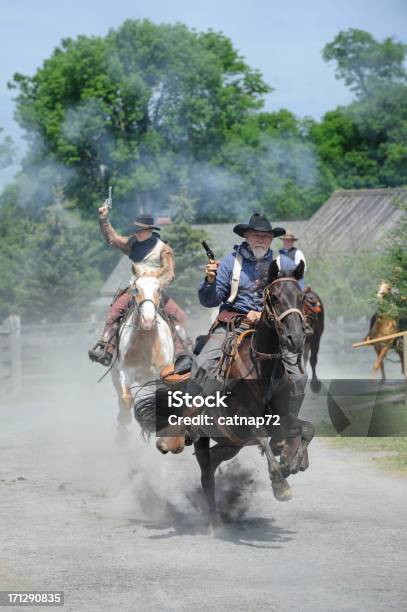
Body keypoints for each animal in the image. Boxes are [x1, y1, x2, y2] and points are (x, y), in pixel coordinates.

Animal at [135, 260, 314, 524]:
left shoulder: (281, 419)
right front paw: (280, 485)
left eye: (301, 297)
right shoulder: (239, 421)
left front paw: (291, 463)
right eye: (274, 297)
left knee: (214, 462)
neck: (260, 367)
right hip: (204, 436)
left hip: (231, 444)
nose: (296, 338)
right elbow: (261, 434)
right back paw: (213, 522)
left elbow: (308, 429)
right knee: (207, 476)